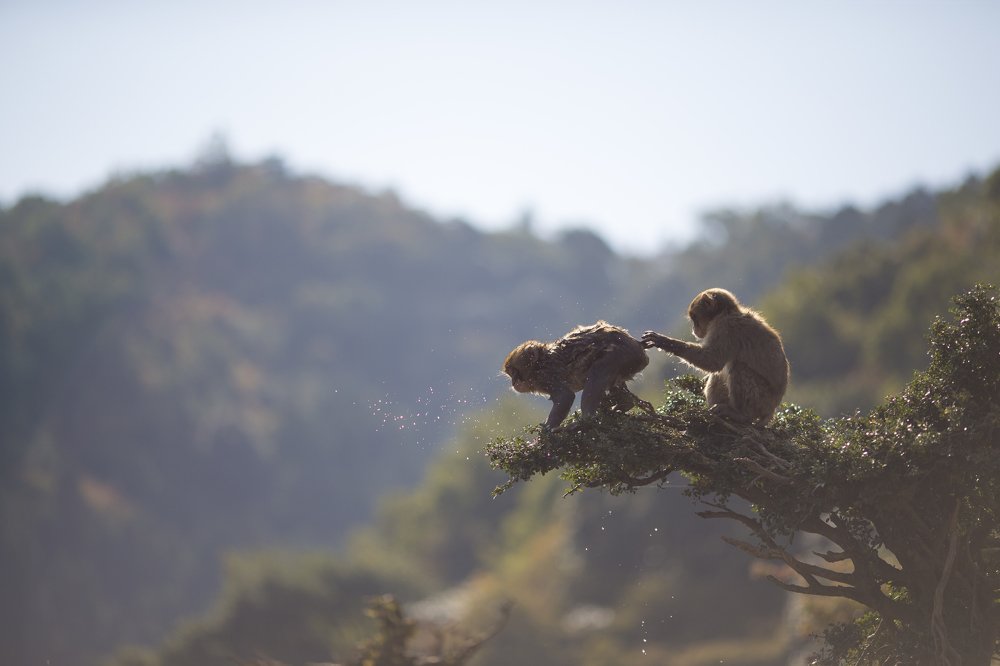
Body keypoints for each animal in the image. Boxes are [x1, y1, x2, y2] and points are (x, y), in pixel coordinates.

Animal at [502, 321, 652, 429]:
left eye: (515, 372)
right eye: (510, 374)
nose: (513, 382)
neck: (540, 363)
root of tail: (638, 345)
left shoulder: (547, 377)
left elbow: (565, 396)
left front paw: (546, 431)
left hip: (622, 354)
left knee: (598, 372)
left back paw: (587, 420)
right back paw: (623, 405)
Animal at [642, 288, 789, 424]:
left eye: (694, 318)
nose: (693, 330)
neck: (727, 312)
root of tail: (771, 409)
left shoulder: (725, 328)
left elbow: (712, 361)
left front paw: (664, 341)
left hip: (762, 400)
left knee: (738, 368)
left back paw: (741, 414)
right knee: (720, 374)